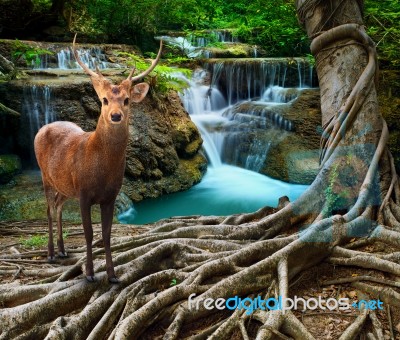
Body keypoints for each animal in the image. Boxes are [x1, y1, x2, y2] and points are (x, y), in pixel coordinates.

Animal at [34, 35, 162, 282]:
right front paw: (90, 274)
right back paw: (51, 254)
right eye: (104, 100)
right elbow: (89, 233)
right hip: (45, 175)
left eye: (127, 100)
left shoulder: (110, 196)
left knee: (58, 205)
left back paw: (63, 250)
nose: (115, 116)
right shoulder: (84, 193)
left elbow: (106, 233)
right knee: (48, 209)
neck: (101, 170)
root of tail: (41, 128)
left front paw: (112, 274)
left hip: (65, 186)